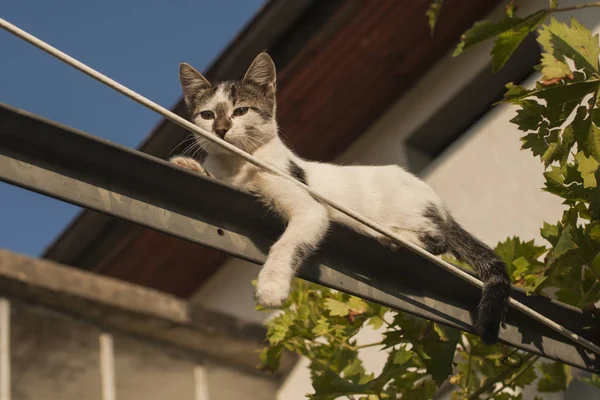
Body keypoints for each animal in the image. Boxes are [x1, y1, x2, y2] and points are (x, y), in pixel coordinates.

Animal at [170, 51, 510, 342]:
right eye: (207, 114)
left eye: (240, 111)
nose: (221, 129)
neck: (238, 165)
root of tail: (438, 203)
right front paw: (190, 165)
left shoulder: (306, 204)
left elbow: (287, 243)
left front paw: (271, 285)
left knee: (436, 241)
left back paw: (391, 235)